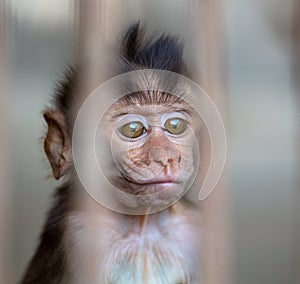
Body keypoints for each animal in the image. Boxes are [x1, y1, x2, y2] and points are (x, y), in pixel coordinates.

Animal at [21, 23, 203, 282]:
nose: (166, 158)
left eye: (175, 125)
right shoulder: (80, 236)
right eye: (133, 129)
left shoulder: (194, 229)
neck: (142, 226)